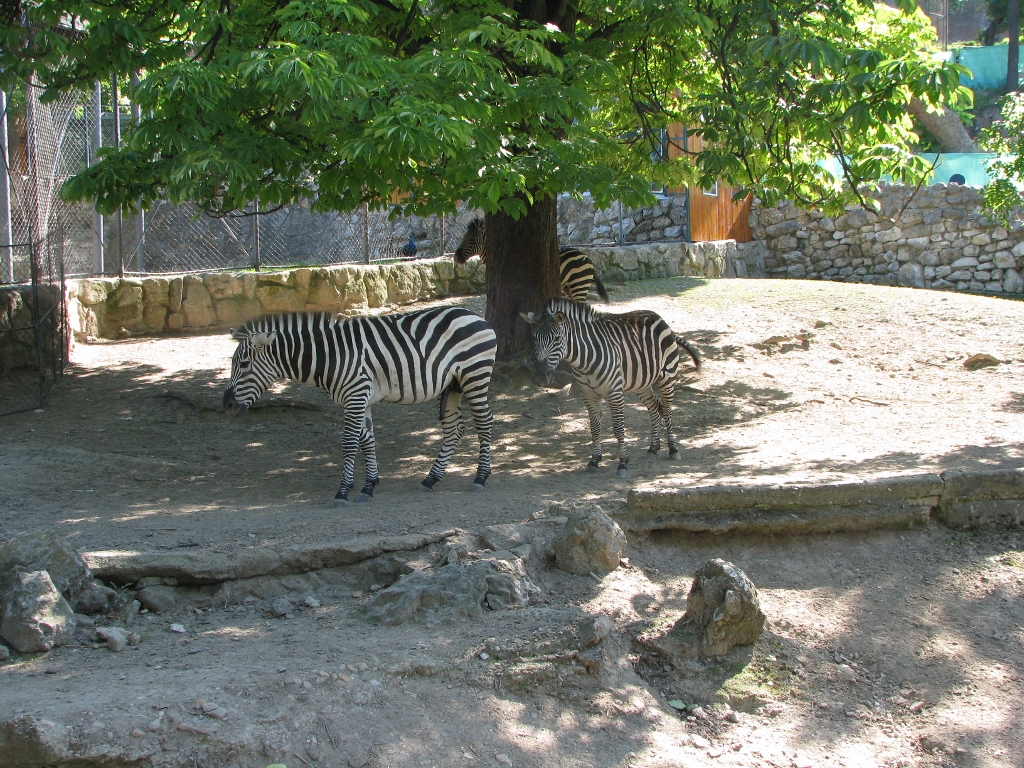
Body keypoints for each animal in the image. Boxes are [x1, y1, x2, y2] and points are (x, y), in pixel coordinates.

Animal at [223, 307, 496, 505]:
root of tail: (473, 314)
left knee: (484, 423)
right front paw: (369, 485)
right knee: (454, 428)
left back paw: (481, 478)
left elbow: (349, 442)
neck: (330, 356)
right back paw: (431, 478)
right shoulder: (359, 399)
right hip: (453, 384)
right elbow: (367, 440)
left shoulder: (355, 396)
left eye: (244, 364)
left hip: (474, 375)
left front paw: (343, 492)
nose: (227, 405)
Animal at [521, 297, 700, 477]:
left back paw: (673, 449)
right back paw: (653, 448)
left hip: (667, 377)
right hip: (641, 383)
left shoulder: (614, 392)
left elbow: (619, 428)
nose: (541, 375)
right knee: (655, 409)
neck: (584, 360)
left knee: (667, 410)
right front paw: (594, 460)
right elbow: (594, 428)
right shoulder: (588, 394)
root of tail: (656, 316)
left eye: (557, 339)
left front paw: (623, 463)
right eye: (535, 339)